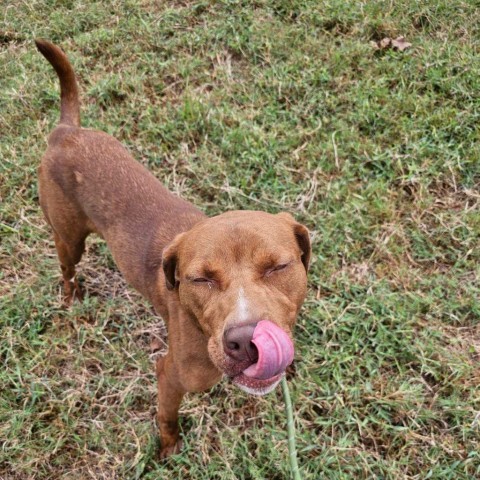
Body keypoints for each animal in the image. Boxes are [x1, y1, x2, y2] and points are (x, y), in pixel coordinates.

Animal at [35, 39, 312, 460]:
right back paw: (71, 296)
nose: (246, 340)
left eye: (277, 267)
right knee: (66, 268)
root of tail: (65, 132)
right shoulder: (170, 374)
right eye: (200, 279)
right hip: (69, 239)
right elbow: (167, 417)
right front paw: (168, 448)